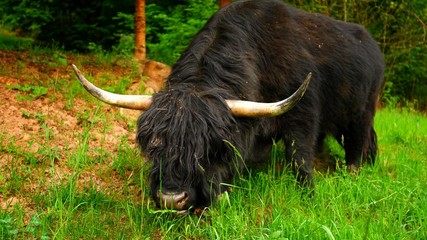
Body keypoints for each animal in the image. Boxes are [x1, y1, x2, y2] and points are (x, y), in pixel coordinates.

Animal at [72, 0, 386, 214]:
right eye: (155, 144)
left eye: (209, 146)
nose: (172, 199)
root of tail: (372, 44)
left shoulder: (303, 115)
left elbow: (299, 158)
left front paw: (307, 194)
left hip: (363, 110)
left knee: (359, 141)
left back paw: (355, 173)